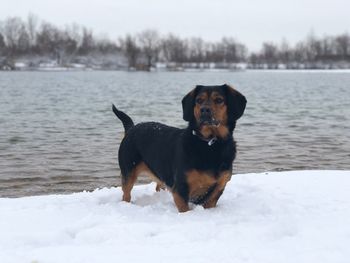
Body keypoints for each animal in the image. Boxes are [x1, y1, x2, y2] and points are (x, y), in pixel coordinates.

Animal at [112, 84, 246, 212]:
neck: (210, 144)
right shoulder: (181, 189)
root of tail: (131, 128)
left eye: (219, 100)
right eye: (199, 100)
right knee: (126, 194)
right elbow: (185, 210)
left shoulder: (217, 190)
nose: (204, 110)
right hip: (128, 172)